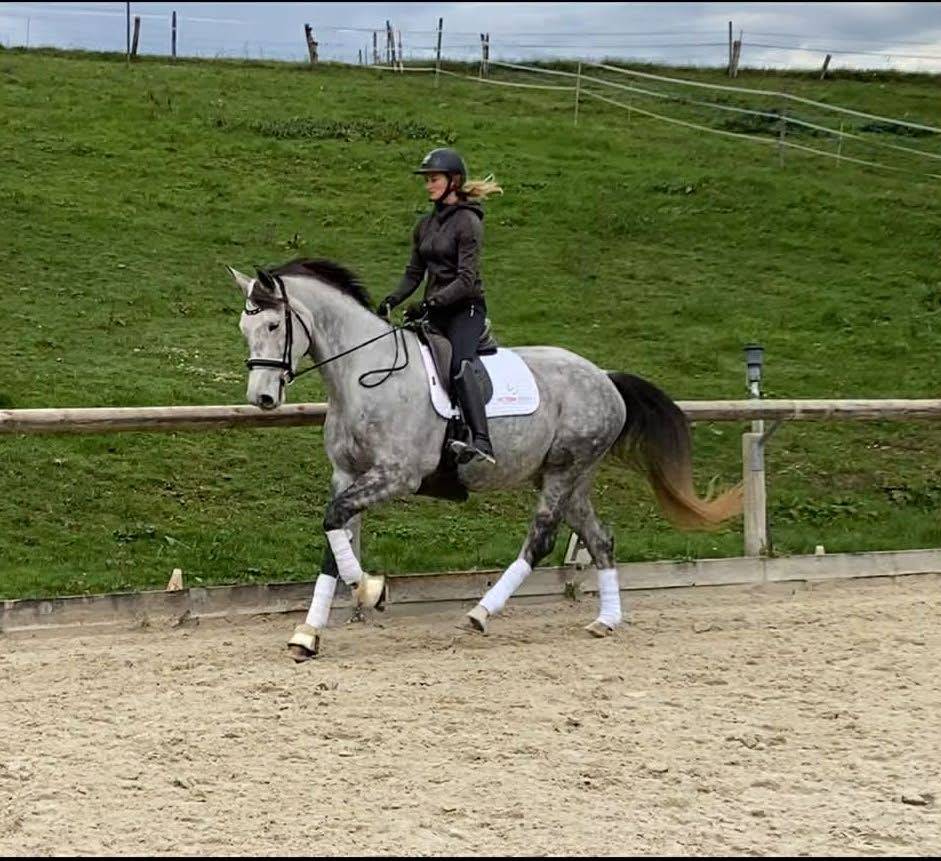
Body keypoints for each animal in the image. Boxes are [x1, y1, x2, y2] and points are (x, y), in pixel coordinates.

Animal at [226, 258, 742, 662]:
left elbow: (335, 524)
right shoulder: (346, 474)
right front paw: (309, 633)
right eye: (244, 329)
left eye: (273, 326)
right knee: (600, 539)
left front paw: (372, 591)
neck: (365, 375)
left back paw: (480, 612)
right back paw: (605, 621)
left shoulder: (396, 475)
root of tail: (605, 378)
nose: (262, 398)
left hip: (564, 471)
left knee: (540, 540)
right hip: (567, 477)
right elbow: (334, 541)